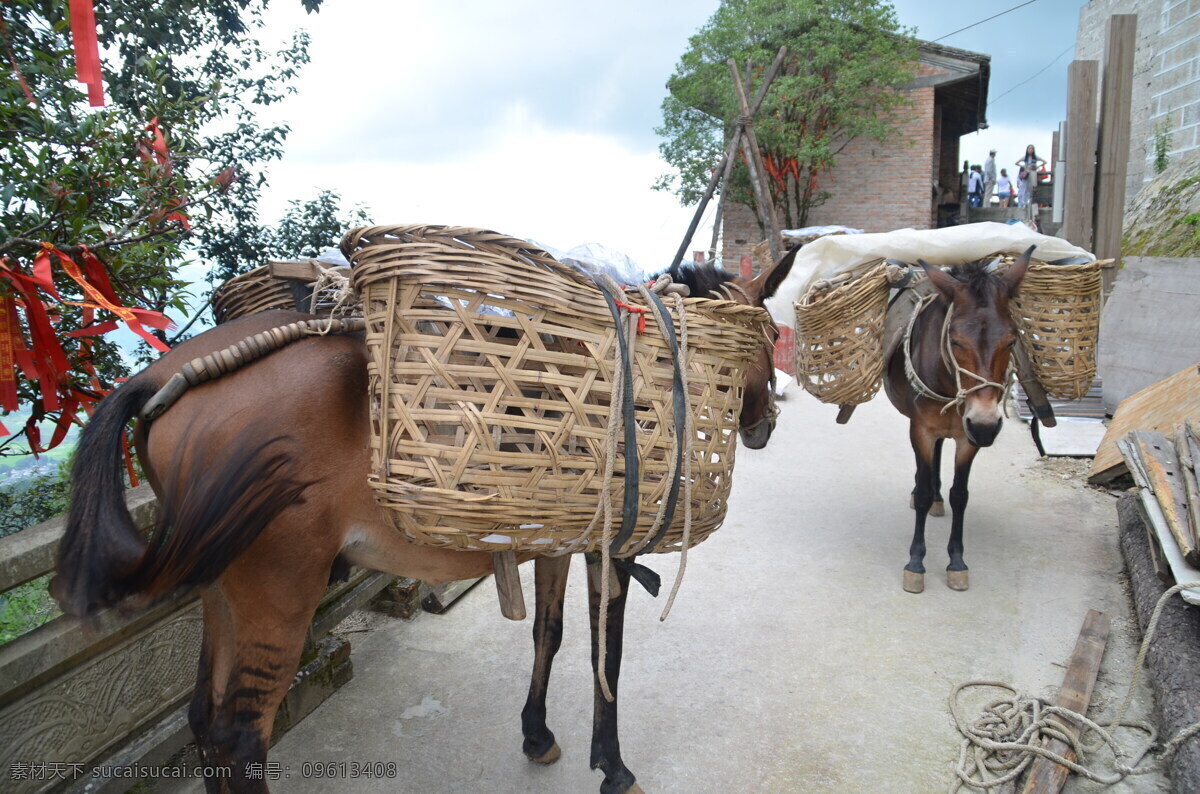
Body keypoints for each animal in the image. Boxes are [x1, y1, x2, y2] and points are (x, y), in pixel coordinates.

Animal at [51, 250, 796, 794]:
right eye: (769, 335)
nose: (763, 423)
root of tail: (160, 379)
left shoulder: (556, 536)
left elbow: (549, 636)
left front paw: (536, 734)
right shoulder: (610, 544)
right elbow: (603, 652)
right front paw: (613, 767)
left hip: (223, 587)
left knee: (204, 721)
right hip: (279, 585)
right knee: (239, 736)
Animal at [878, 245, 1036, 594]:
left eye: (1011, 340)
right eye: (954, 340)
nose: (985, 425)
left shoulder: (968, 438)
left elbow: (960, 495)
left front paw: (957, 562)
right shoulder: (921, 429)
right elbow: (923, 491)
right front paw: (916, 564)